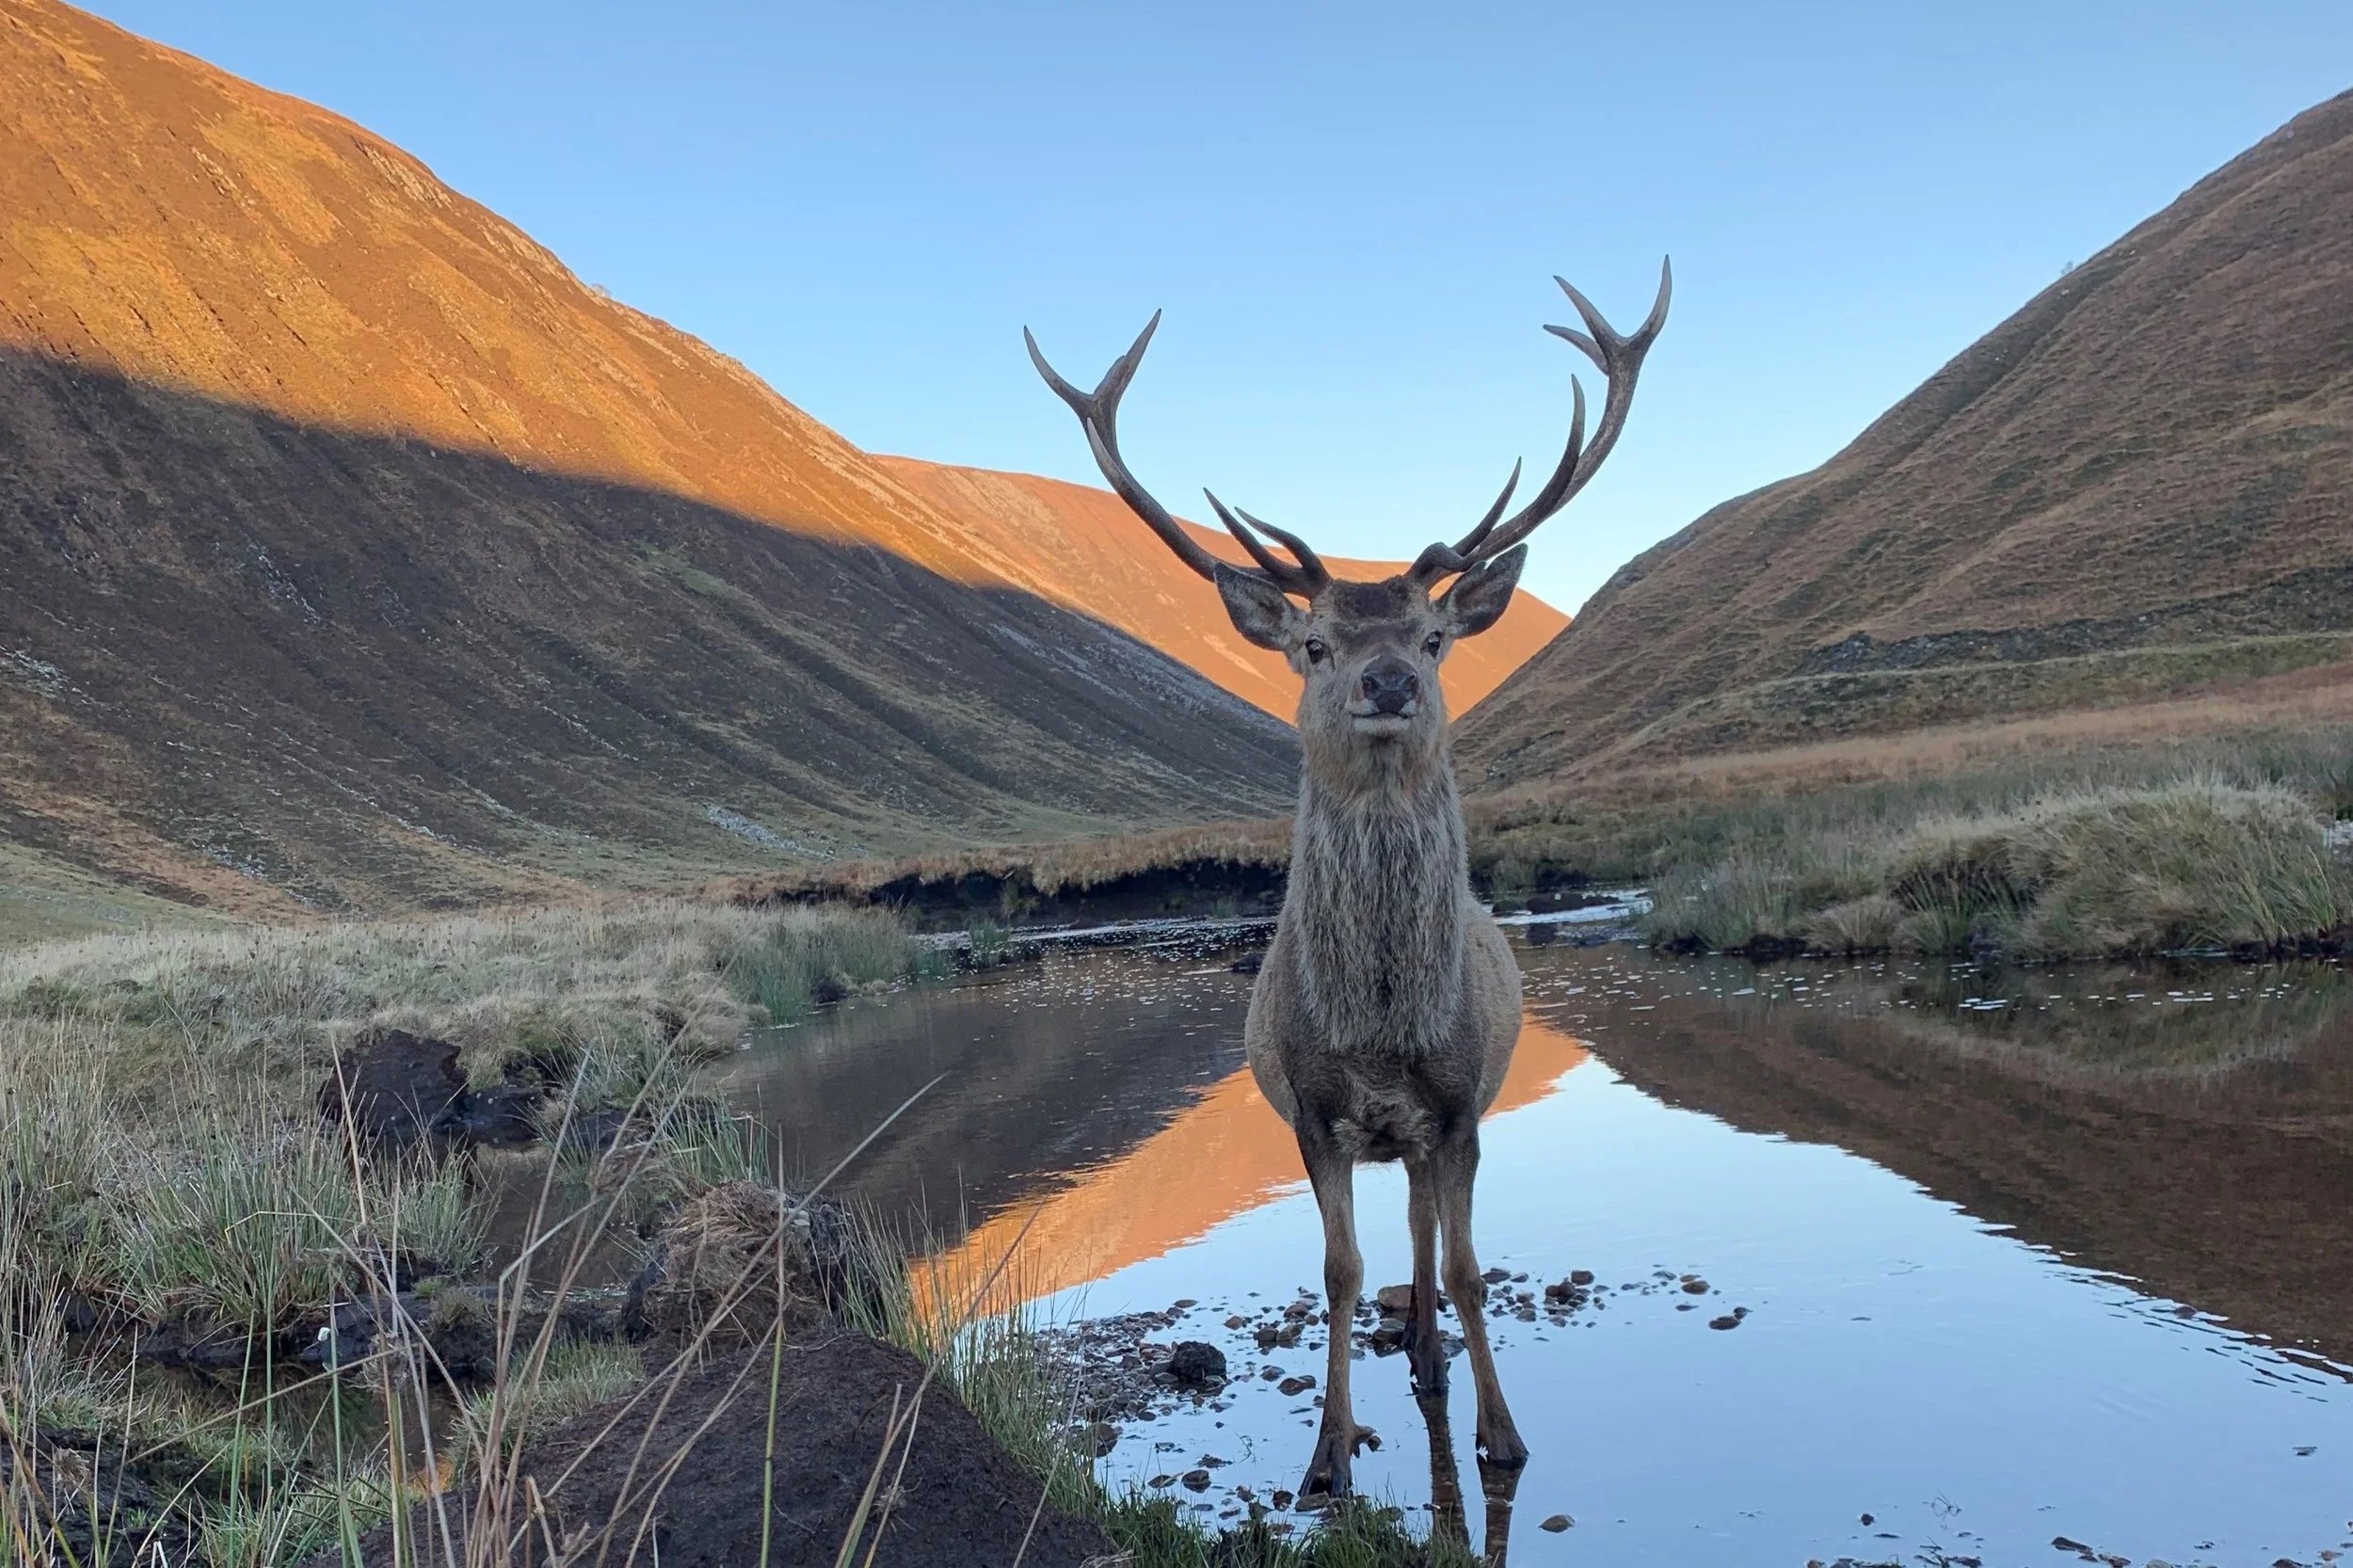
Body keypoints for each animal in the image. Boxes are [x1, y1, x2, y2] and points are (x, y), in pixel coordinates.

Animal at [1026, 262, 1669, 1502]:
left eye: (1432, 638)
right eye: (1312, 645)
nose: (1385, 681)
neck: (1376, 1032)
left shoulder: (1461, 1104)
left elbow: (1468, 1268)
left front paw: (1503, 1434)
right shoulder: (1313, 1109)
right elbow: (1335, 1269)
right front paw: (1325, 1454)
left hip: (1426, 1135)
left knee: (1428, 1243)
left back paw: (1428, 1356)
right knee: (1397, 1246)